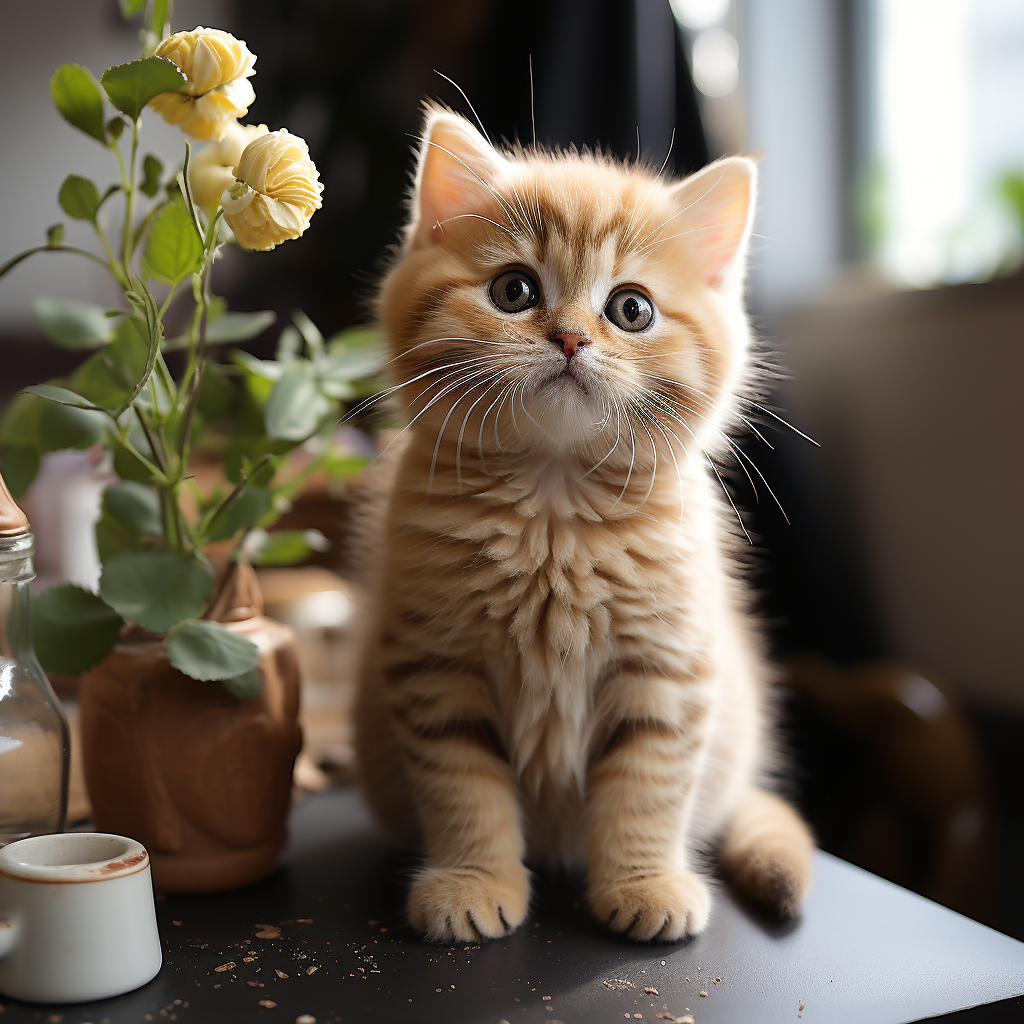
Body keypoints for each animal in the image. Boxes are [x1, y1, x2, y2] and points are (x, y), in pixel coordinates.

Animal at [354, 103, 815, 942]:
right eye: (513, 290)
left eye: (631, 309)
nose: (570, 337)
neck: (554, 508)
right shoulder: (434, 672)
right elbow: (462, 789)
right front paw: (473, 881)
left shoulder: (669, 671)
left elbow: (648, 790)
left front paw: (644, 884)